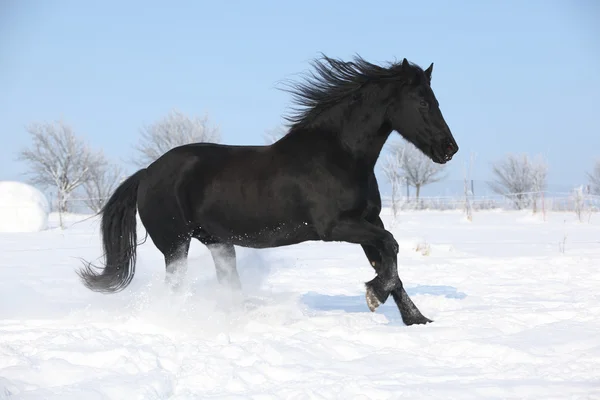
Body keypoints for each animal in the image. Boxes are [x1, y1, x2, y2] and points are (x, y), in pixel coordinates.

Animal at [77, 55, 458, 324]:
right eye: (423, 102)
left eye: (436, 100)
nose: (449, 149)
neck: (338, 155)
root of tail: (147, 173)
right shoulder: (336, 227)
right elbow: (391, 248)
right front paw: (374, 296)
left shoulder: (369, 223)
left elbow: (389, 262)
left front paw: (417, 319)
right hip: (175, 245)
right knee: (175, 288)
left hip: (218, 243)